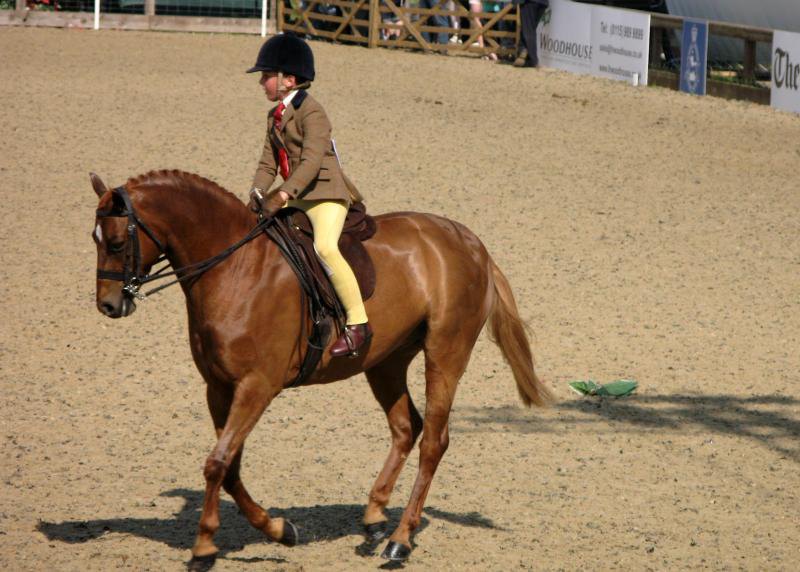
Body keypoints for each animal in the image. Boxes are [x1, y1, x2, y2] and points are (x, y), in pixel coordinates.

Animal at [90, 169, 548, 564]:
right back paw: (375, 516)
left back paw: (399, 541)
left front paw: (204, 548)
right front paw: (279, 530)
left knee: (433, 441)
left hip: (445, 356)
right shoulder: (218, 387)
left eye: (114, 242)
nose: (108, 305)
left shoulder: (257, 386)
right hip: (385, 361)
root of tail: (471, 243)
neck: (236, 269)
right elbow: (230, 466)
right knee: (406, 427)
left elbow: (218, 462)